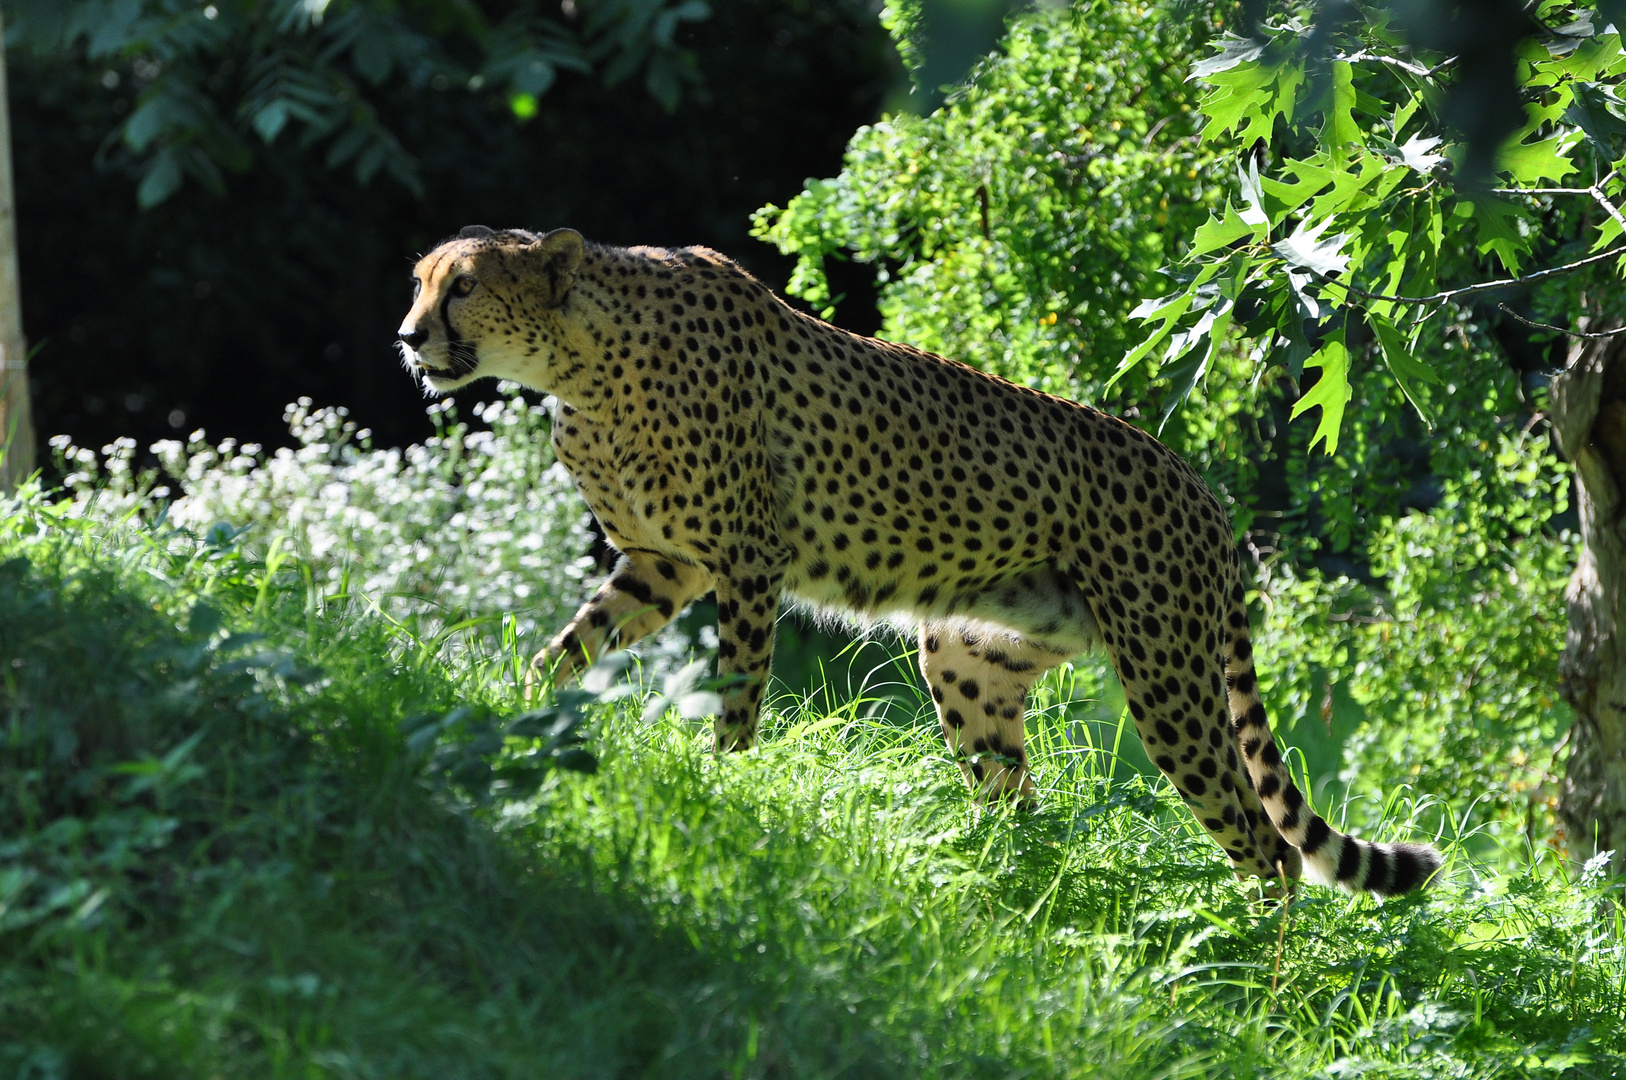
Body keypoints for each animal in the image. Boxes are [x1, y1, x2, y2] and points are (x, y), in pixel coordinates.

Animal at [399, 226, 1443, 891]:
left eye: (464, 287)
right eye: (419, 281)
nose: (408, 336)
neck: (580, 360)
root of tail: (1204, 491)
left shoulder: (746, 560)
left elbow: (737, 691)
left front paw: (724, 783)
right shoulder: (665, 563)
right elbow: (568, 648)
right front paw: (508, 708)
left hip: (1166, 679)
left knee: (1266, 843)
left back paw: (1258, 975)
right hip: (970, 657)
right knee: (1017, 800)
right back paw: (1007, 886)